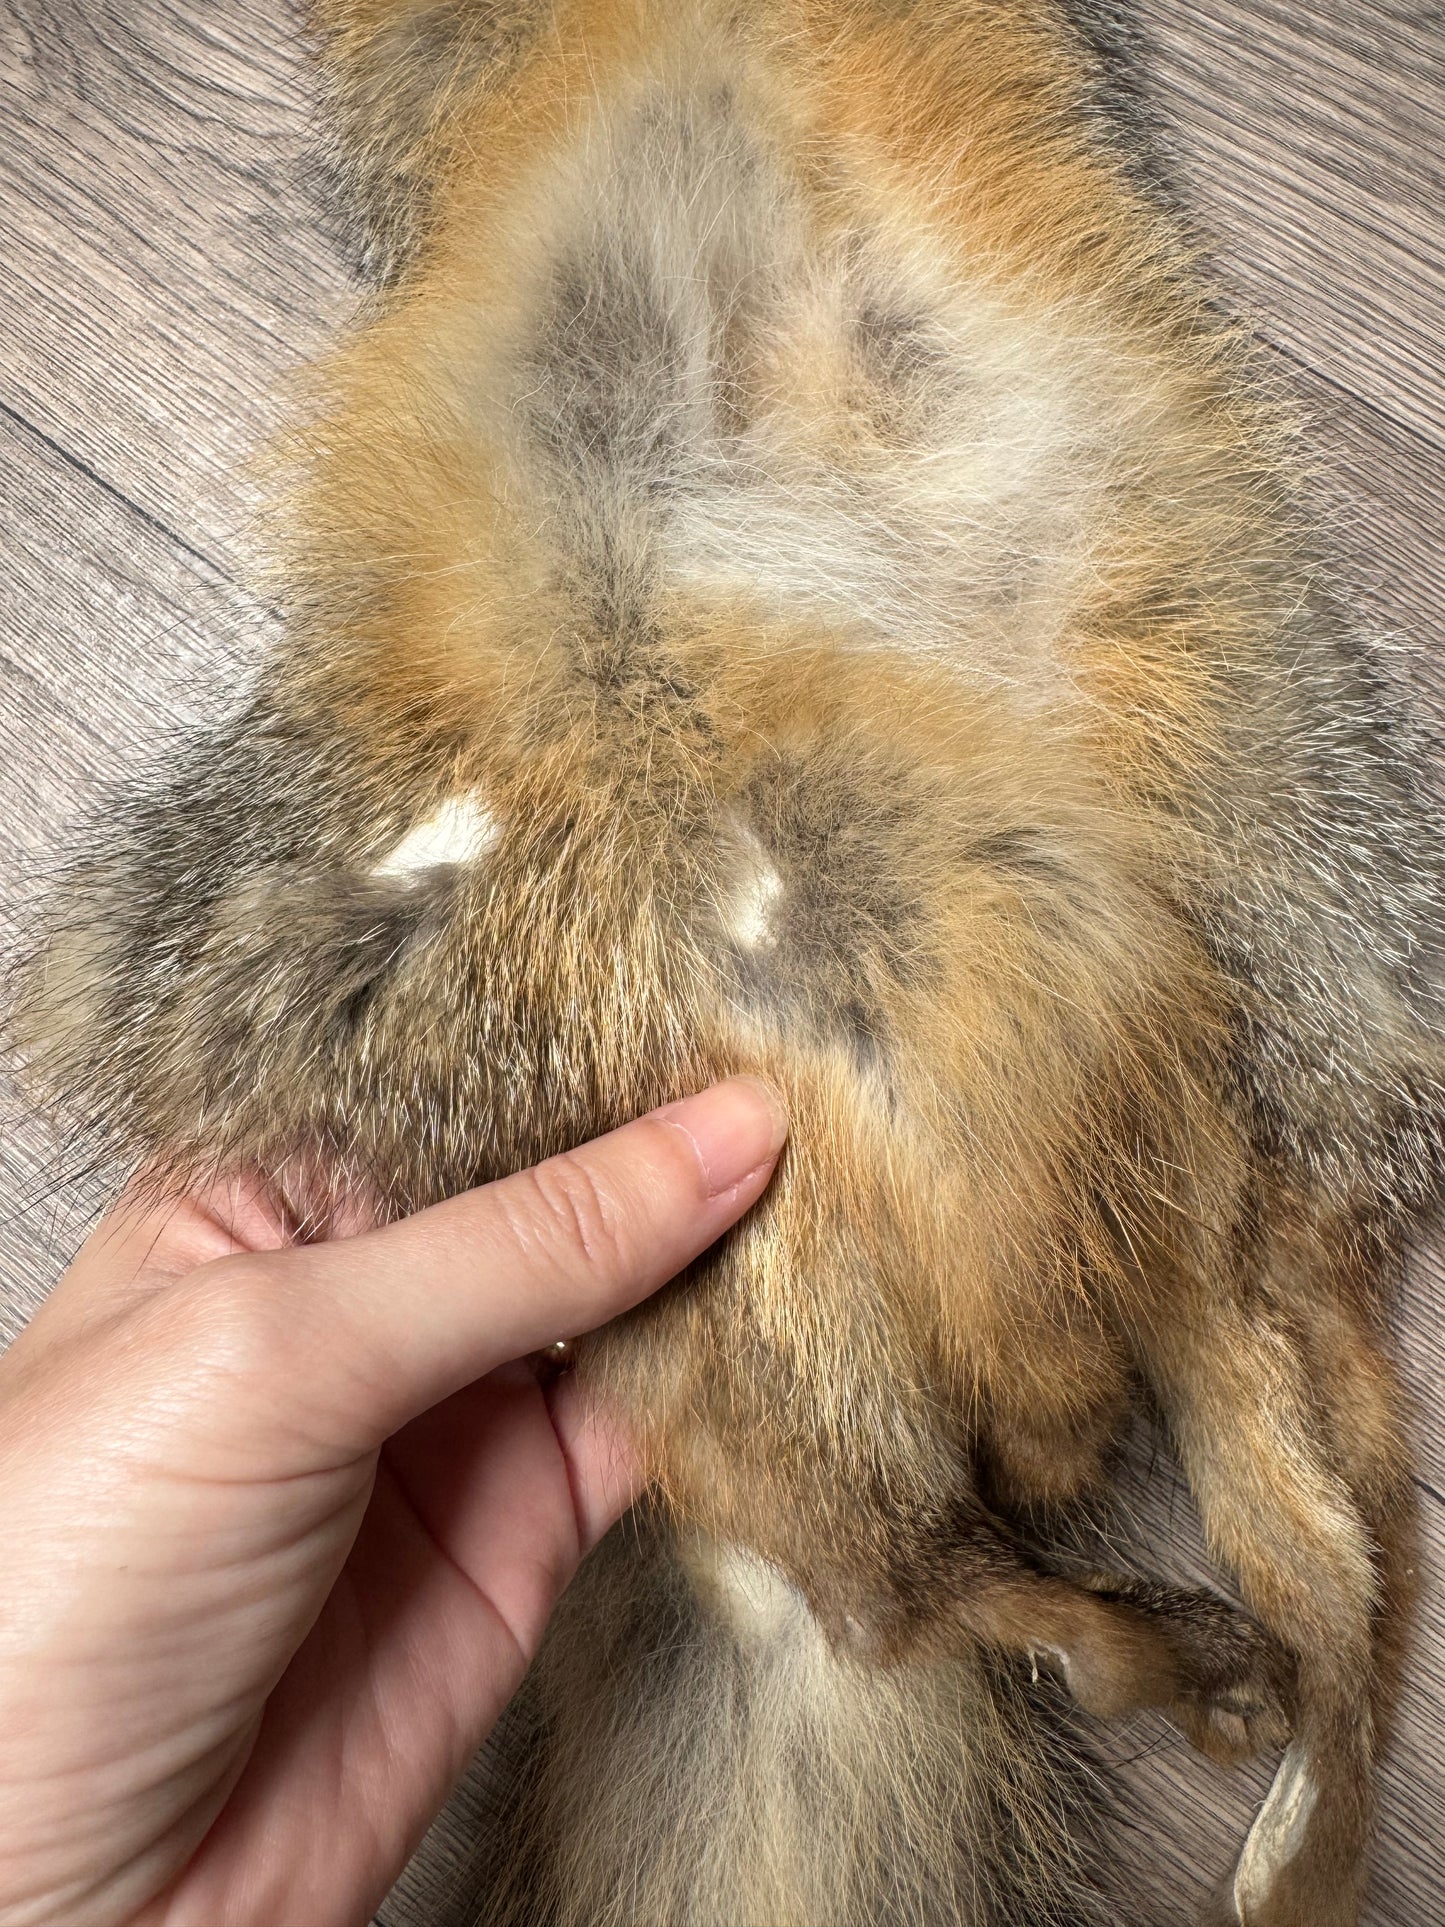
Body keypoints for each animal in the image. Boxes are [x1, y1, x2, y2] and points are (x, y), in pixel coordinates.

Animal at [11, 1, 1445, 1922]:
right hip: (851, 1264)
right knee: (986, 1578)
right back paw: (1198, 1687)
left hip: (1119, 1126)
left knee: (1220, 1549)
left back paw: (1229, 1718)